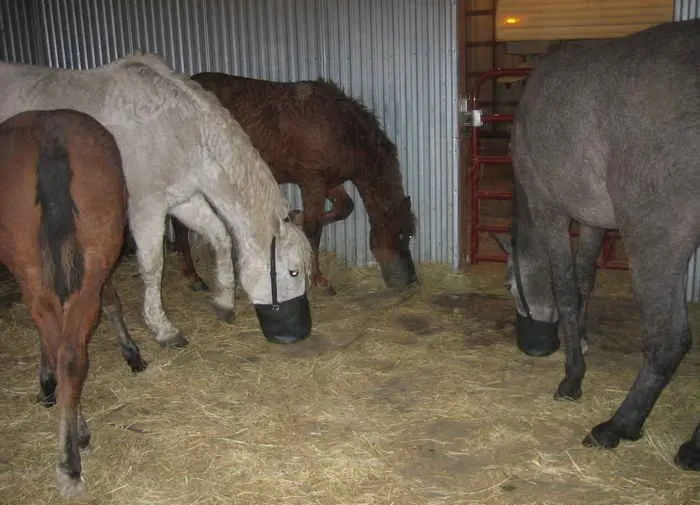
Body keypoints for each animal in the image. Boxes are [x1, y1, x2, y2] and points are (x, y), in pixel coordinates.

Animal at [0, 53, 312, 350]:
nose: (297, 335)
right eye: (294, 271)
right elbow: (152, 266)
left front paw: (223, 302)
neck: (179, 127)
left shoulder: (183, 201)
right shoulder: (146, 210)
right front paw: (163, 329)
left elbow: (220, 237)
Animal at [0, 109, 148, 496]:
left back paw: (71, 454)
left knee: (67, 351)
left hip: (46, 269)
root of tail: (48, 134)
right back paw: (71, 452)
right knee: (68, 352)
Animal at [172, 72, 418, 294]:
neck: (343, 130)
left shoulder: (328, 182)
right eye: (401, 234)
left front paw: (295, 217)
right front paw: (318, 279)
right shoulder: (312, 182)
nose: (411, 279)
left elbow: (344, 208)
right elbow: (314, 229)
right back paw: (193, 277)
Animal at [494, 19, 700, 468]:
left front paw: (572, 378)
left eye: (509, 286)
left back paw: (617, 426)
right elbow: (586, 281)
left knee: (668, 340)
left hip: (655, 243)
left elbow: (566, 290)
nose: (533, 346)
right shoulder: (592, 221)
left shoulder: (551, 211)